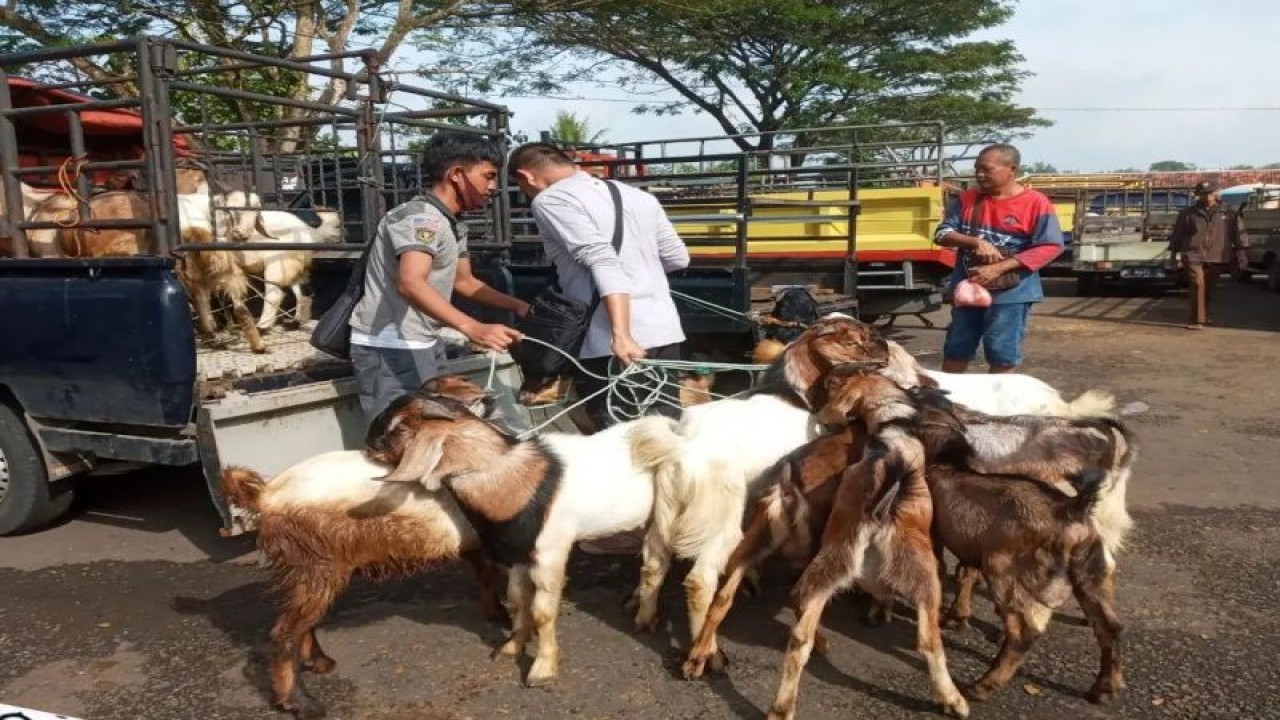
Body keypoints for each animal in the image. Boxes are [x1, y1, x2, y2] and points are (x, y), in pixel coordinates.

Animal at [217, 453, 501, 717]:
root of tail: (265, 495)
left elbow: (487, 577)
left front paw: (495, 616)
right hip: (316, 561)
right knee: (284, 631)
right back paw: (304, 704)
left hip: (306, 568)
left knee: (301, 622)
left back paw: (321, 663)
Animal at [622, 311, 890, 666]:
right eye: (853, 339)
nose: (885, 344)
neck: (793, 393)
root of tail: (684, 447)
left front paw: (752, 578)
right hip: (721, 520)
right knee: (699, 581)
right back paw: (708, 654)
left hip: (666, 513)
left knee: (653, 564)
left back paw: (646, 619)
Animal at [814, 366, 1126, 702]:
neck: (948, 456)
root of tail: (1075, 508)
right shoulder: (966, 542)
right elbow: (964, 574)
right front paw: (957, 616)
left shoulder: (936, 535)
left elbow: (942, 570)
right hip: (1089, 577)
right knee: (1110, 627)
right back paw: (1105, 686)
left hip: (1005, 572)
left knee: (1023, 632)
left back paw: (984, 685)